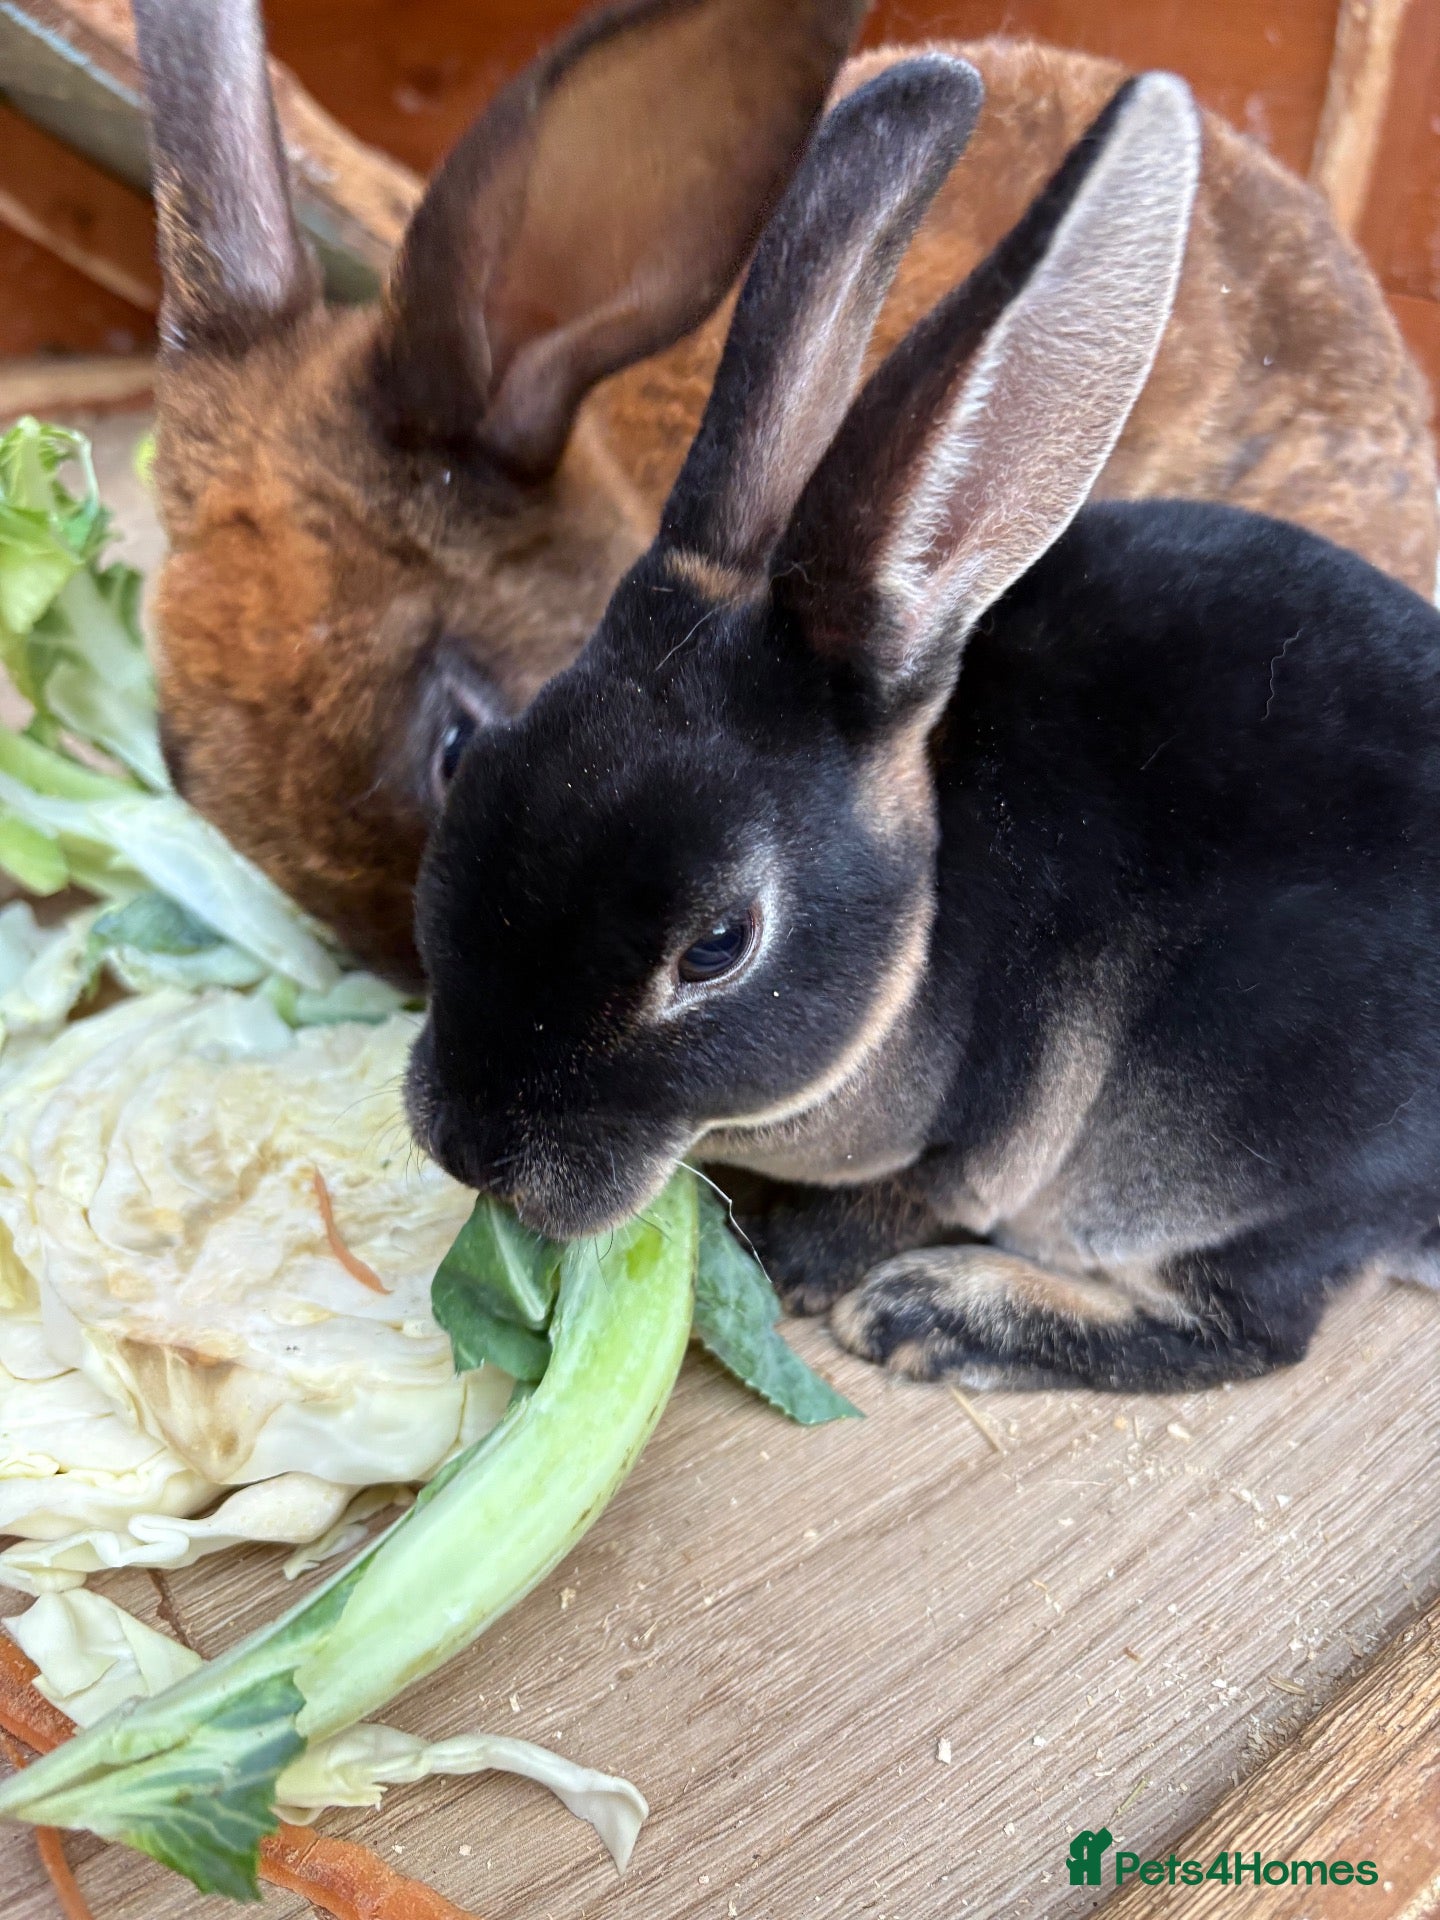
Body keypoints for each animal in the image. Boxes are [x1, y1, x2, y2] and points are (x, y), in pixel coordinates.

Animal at [408, 56, 1440, 1395]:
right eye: (470, 765)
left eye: (718, 946)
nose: (470, 1148)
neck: (926, 923)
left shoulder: (992, 1127)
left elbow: (930, 1190)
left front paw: (808, 1261)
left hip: (1216, 1142)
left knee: (1248, 1328)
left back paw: (932, 1314)